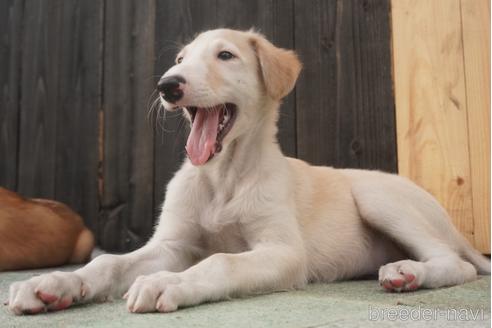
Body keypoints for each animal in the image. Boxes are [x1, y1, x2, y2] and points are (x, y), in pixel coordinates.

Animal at [6, 28, 488, 316]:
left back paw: (409, 273)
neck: (223, 177)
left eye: (226, 55)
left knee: (457, 264)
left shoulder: (284, 252)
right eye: (180, 59)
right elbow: (108, 262)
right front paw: (53, 283)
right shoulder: (173, 244)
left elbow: (221, 261)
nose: (168, 85)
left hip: (379, 196)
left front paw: (166, 283)